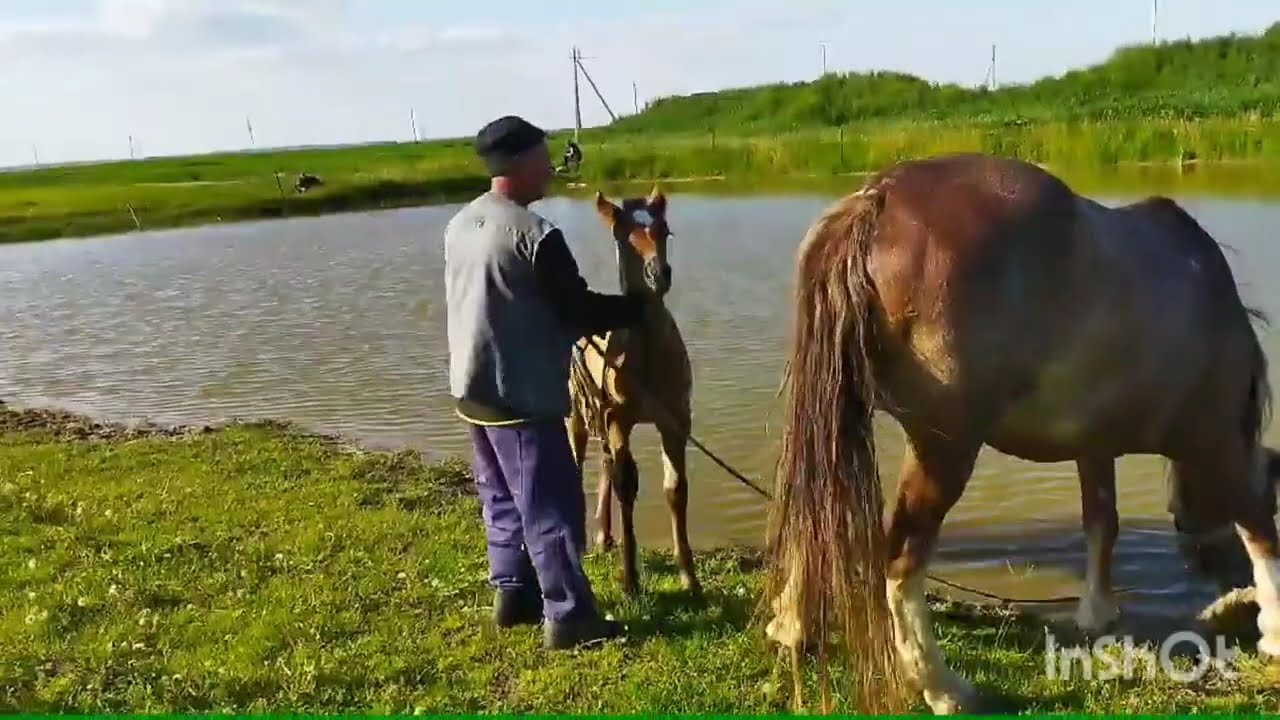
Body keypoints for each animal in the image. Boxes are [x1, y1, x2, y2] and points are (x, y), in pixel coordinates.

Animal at [566, 186, 701, 597]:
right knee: (579, 464)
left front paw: (690, 577)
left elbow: (676, 489)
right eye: (621, 236)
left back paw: (604, 536)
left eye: (664, 231)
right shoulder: (618, 419)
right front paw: (630, 580)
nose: (659, 274)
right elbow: (627, 487)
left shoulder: (675, 420)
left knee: (606, 465)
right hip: (578, 415)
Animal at [762, 153, 1280, 714]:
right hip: (945, 447)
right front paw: (1275, 629)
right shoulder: (1216, 441)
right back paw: (942, 687)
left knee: (814, 511)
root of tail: (879, 199)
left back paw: (791, 626)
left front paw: (1097, 613)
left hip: (839, 414)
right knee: (900, 560)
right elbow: (1258, 528)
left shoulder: (1094, 446)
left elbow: (1102, 523)